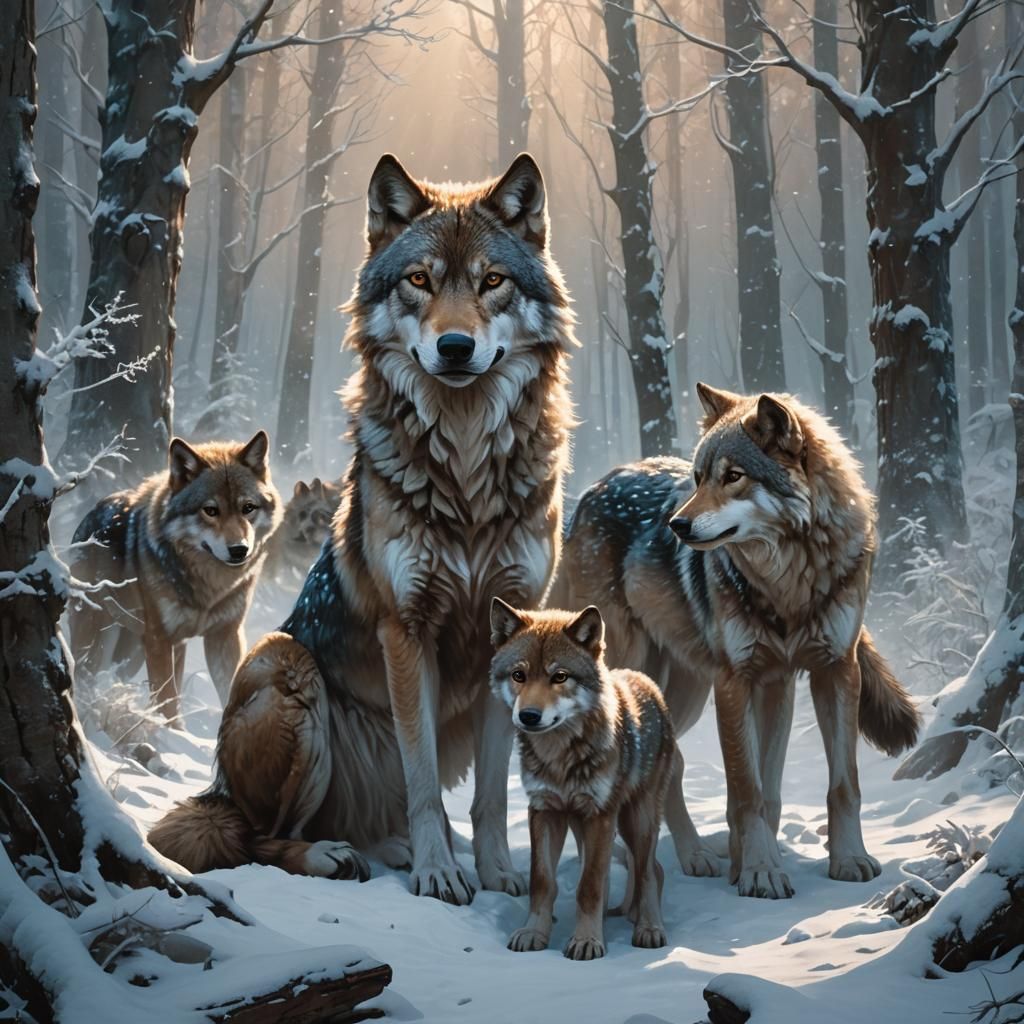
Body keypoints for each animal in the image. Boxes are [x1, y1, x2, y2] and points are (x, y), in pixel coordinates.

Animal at [68, 432, 282, 723]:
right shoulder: (159, 640)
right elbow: (167, 702)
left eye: (248, 507)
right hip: (98, 642)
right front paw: (173, 733)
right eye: (210, 510)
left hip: (139, 651)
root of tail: (87, 519)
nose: (239, 550)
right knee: (83, 677)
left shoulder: (225, 637)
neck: (210, 587)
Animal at [148, 153, 577, 898]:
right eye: (419, 280)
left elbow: (493, 792)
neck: (466, 466)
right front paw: (440, 875)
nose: (455, 346)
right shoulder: (405, 629)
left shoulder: (511, 635)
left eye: (492, 281)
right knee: (262, 838)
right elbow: (422, 779)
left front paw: (497, 873)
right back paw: (339, 855)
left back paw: (391, 846)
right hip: (282, 663)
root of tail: (217, 790)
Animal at [490, 599, 676, 960]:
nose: (528, 716)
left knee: (650, 871)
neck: (559, 757)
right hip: (582, 823)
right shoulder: (544, 810)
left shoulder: (600, 814)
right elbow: (543, 881)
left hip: (637, 819)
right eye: (519, 675)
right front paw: (534, 933)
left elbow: (588, 885)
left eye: (559, 676)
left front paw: (587, 941)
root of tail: (644, 679)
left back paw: (648, 928)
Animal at [560, 384, 921, 899]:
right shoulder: (735, 681)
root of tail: (591, 491)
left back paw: (695, 857)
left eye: (733, 477)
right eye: (697, 478)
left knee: (671, 763)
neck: (789, 583)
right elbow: (746, 790)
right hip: (640, 676)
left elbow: (827, 785)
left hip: (691, 693)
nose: (676, 526)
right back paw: (633, 859)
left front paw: (845, 860)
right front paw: (760, 871)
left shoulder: (821, 673)